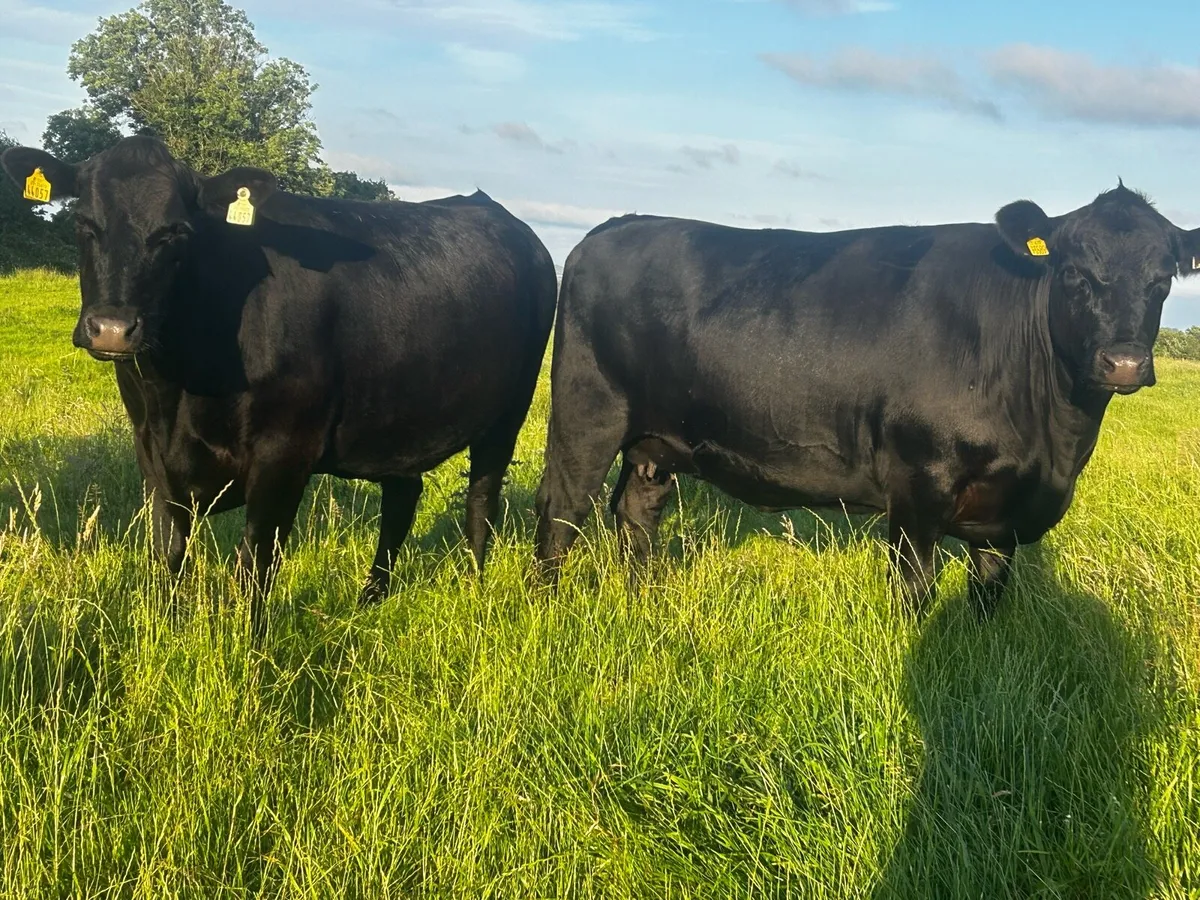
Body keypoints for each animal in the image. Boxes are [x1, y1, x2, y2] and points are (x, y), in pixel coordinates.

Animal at [2, 136, 557, 632]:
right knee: (404, 493)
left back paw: (474, 585)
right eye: (83, 223)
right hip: (399, 411)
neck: (178, 393)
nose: (113, 328)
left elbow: (255, 565)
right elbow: (170, 555)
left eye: (176, 233)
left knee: (482, 499)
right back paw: (370, 600)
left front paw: (249, 655)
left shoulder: (284, 451)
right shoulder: (152, 454)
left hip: (510, 411)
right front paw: (166, 633)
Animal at [534, 185, 1200, 618]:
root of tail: (615, 224)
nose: (1123, 363)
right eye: (1074, 273)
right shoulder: (918, 483)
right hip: (586, 412)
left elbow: (990, 595)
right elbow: (916, 588)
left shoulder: (1004, 512)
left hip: (656, 439)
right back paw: (549, 609)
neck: (1053, 442)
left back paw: (643, 602)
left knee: (636, 513)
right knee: (562, 512)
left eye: (1162, 279)